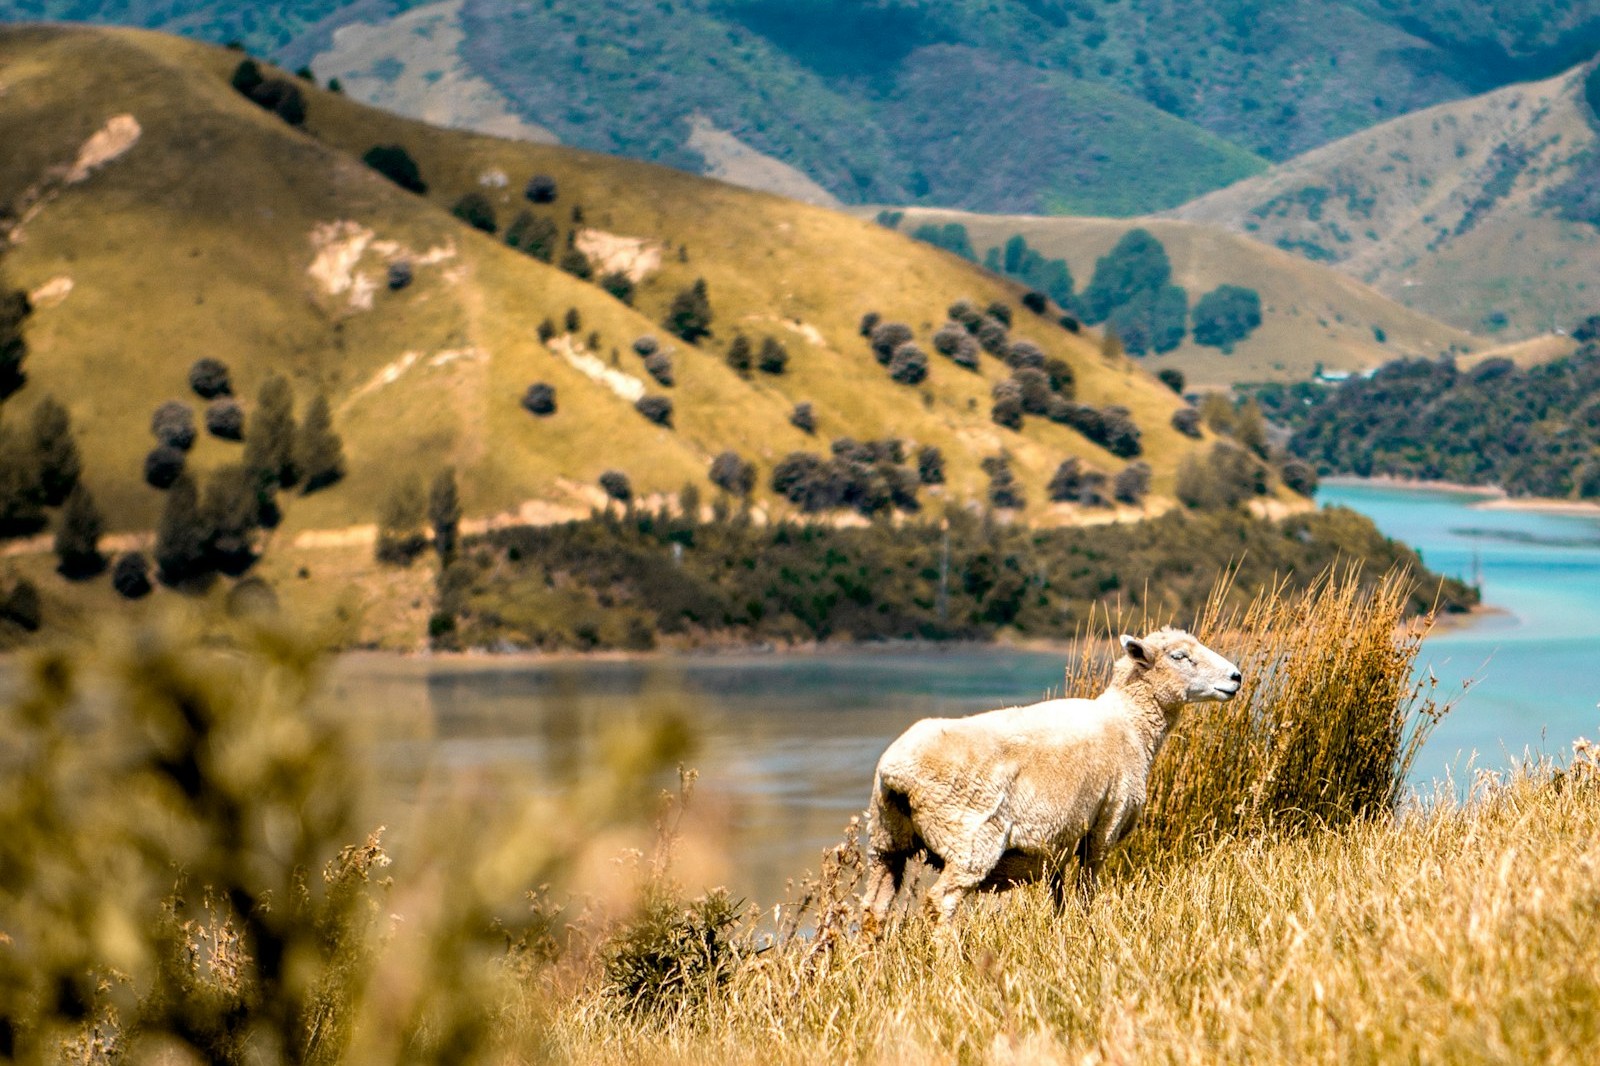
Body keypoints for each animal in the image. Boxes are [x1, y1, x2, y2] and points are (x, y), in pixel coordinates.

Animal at [861, 627, 1242, 925]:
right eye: (1180, 656)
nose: (1236, 677)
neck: (1129, 724)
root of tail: (896, 772)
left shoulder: (1061, 835)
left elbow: (1058, 893)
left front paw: (1060, 928)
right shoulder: (1105, 822)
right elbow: (1087, 887)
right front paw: (1087, 927)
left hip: (886, 839)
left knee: (874, 907)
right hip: (969, 838)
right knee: (941, 902)